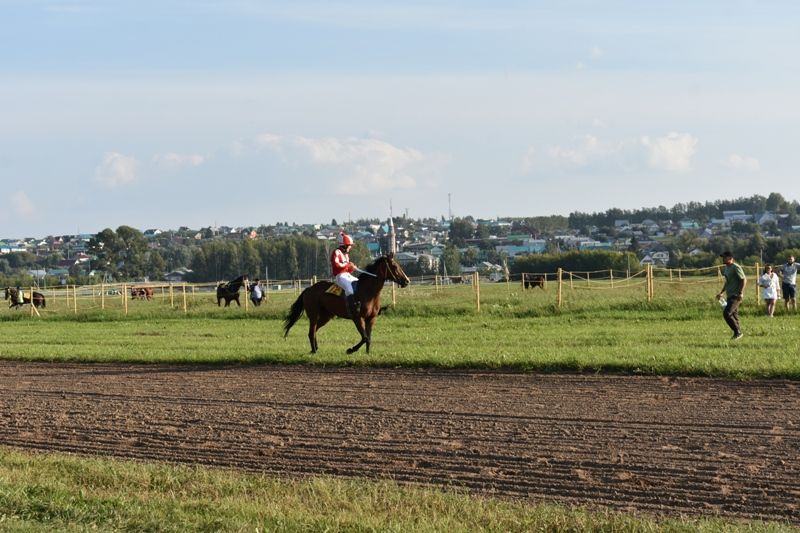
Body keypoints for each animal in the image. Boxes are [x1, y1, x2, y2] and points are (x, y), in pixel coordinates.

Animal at [282, 252, 410, 354]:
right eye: (395, 266)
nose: (407, 281)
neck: (368, 292)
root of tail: (308, 289)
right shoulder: (357, 318)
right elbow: (365, 337)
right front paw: (351, 350)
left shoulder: (371, 318)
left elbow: (369, 338)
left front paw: (368, 353)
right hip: (313, 314)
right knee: (311, 331)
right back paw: (314, 350)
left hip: (326, 316)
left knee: (315, 330)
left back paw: (316, 348)